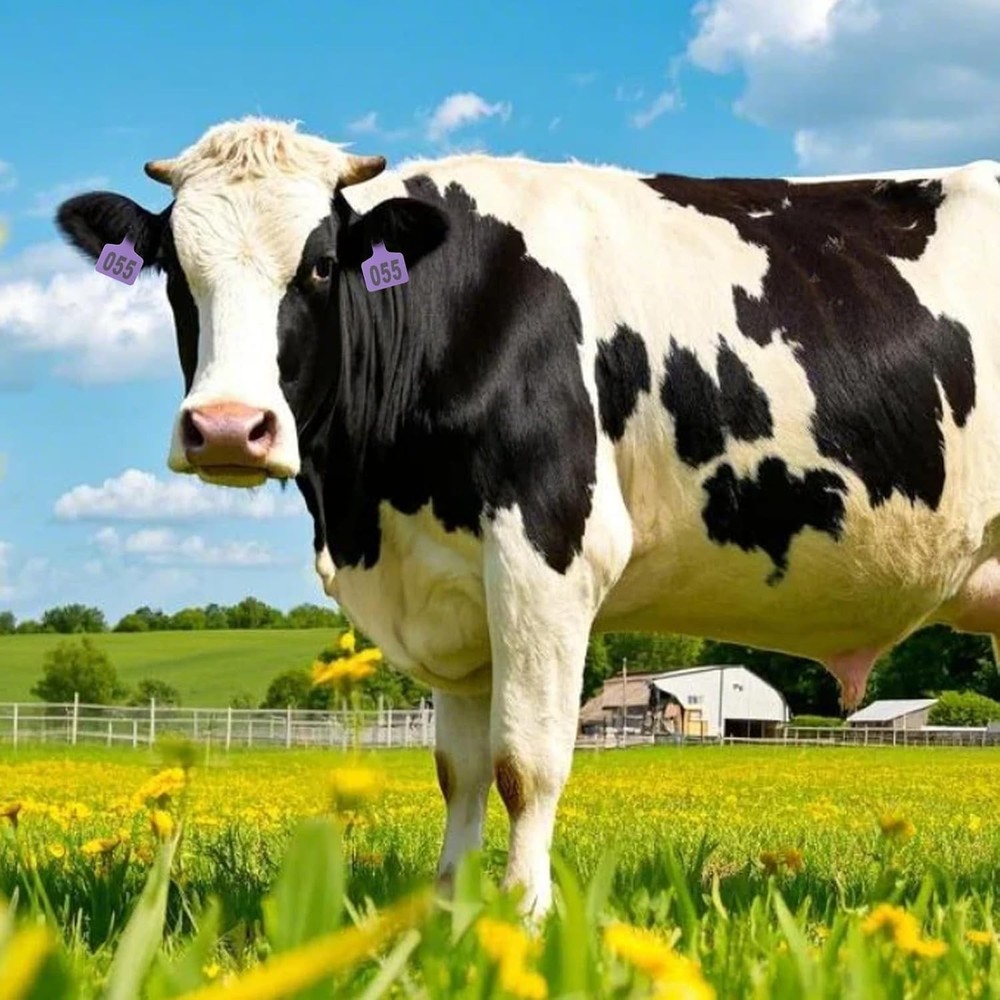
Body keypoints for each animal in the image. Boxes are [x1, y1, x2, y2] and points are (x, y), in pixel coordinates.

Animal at [55, 117, 1000, 913]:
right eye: (177, 274)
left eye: (320, 266)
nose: (226, 428)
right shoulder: (449, 579)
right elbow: (460, 770)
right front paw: (448, 911)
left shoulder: (545, 551)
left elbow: (525, 763)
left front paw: (524, 914)